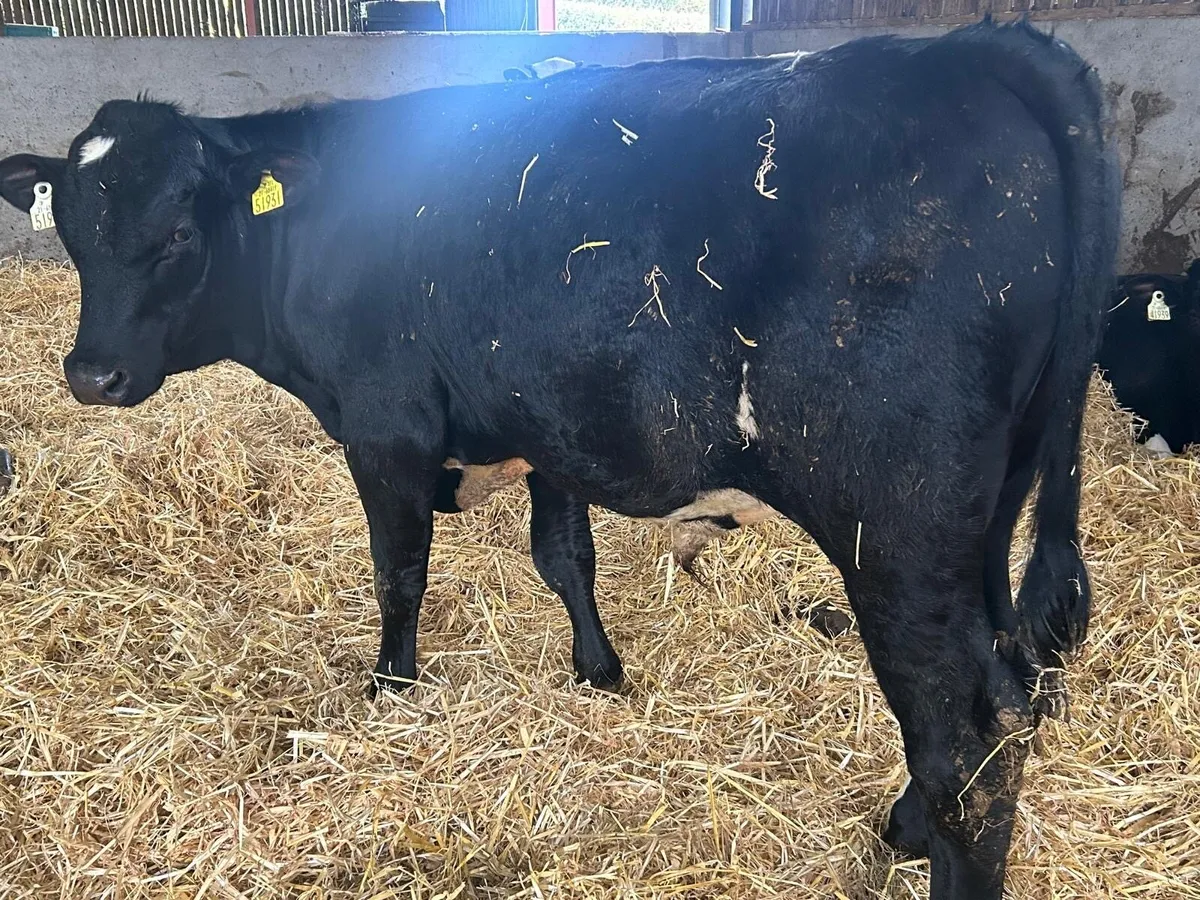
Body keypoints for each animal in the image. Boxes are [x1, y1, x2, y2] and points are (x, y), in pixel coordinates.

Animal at [0, 19, 1118, 899]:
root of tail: (979, 47)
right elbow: (563, 558)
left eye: (178, 233)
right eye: (76, 233)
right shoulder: (546, 427)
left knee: (966, 742)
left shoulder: (387, 425)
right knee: (1012, 687)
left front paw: (391, 689)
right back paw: (906, 823)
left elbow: (399, 573)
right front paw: (600, 672)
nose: (90, 373)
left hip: (896, 530)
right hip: (986, 517)